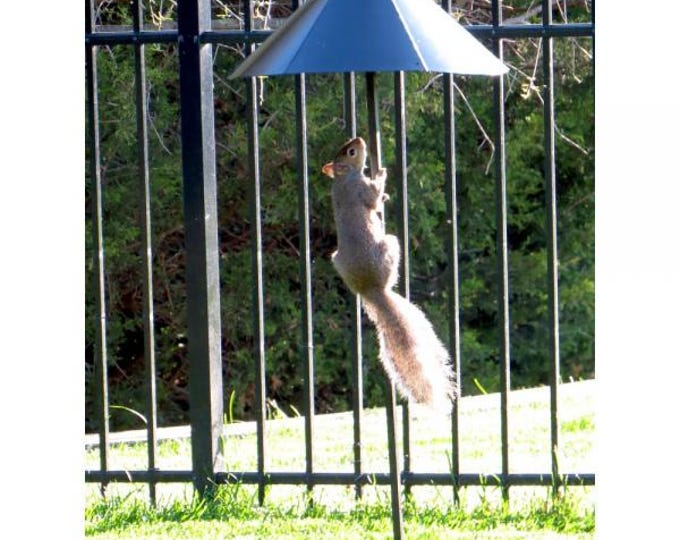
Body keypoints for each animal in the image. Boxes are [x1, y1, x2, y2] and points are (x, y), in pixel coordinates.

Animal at [322, 137, 458, 411]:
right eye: (352, 152)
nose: (360, 139)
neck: (343, 178)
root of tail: (371, 289)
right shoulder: (361, 188)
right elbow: (373, 200)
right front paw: (382, 177)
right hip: (391, 245)